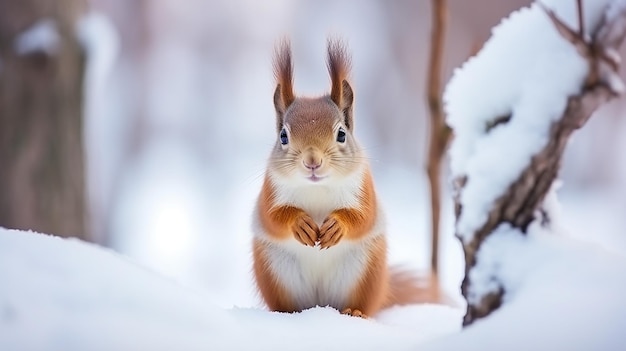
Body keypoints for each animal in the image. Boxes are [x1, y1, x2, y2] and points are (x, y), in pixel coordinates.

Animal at [251, 39, 432, 320]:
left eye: (341, 134)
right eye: (283, 136)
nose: (312, 162)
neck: (317, 188)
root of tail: (320, 304)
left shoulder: (364, 188)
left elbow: (363, 216)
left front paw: (338, 225)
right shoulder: (270, 191)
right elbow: (272, 217)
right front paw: (299, 223)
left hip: (366, 272)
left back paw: (355, 312)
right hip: (274, 272)